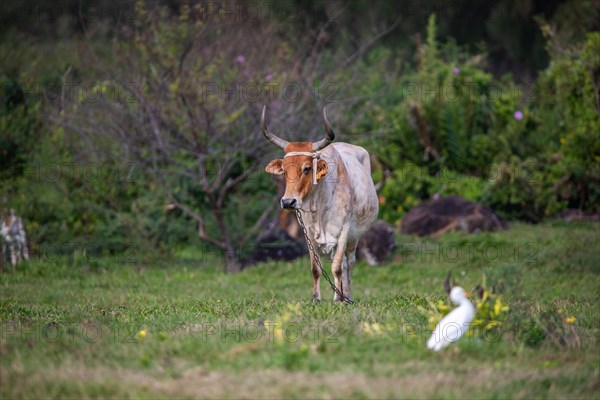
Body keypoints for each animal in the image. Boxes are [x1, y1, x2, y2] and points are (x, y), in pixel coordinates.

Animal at [260, 104, 378, 302]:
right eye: (284, 170)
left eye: (307, 168)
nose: (288, 201)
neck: (320, 205)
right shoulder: (307, 232)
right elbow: (316, 268)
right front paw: (316, 298)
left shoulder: (344, 230)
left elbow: (337, 267)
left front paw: (338, 299)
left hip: (354, 237)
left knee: (349, 264)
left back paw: (347, 296)